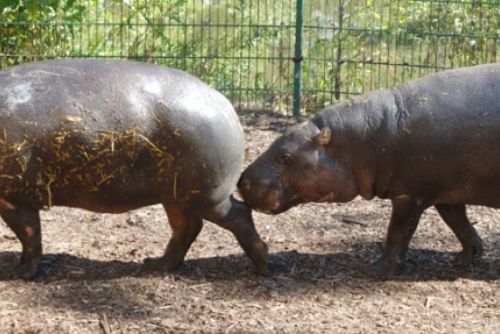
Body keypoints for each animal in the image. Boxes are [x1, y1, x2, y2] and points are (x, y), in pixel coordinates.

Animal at [0, 60, 270, 280]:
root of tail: (225, 105)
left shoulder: (15, 199)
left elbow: (29, 235)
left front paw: (21, 274)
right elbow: (29, 236)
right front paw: (20, 268)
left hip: (207, 196)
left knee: (238, 214)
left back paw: (261, 267)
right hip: (175, 196)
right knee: (188, 227)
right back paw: (154, 265)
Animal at [239, 62, 500, 276]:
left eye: (285, 156)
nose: (242, 180)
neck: (363, 139)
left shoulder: (409, 195)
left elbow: (398, 232)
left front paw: (376, 269)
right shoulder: (445, 192)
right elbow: (459, 223)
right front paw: (463, 259)